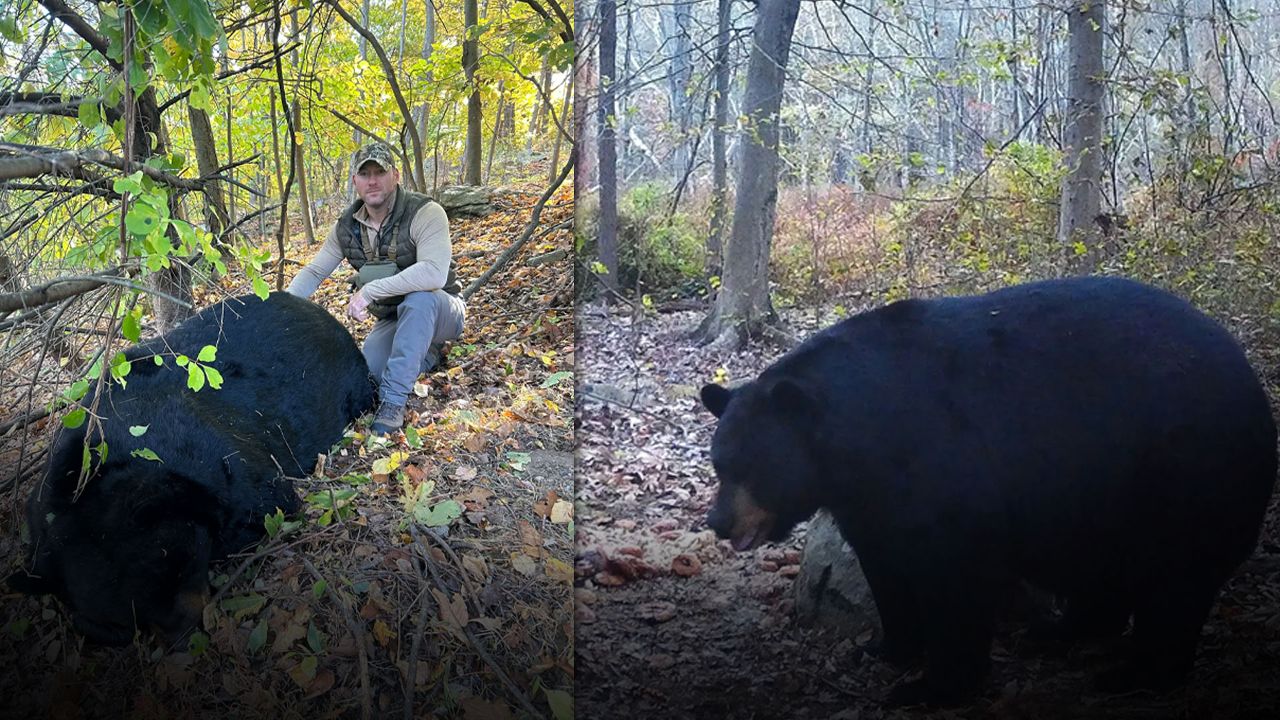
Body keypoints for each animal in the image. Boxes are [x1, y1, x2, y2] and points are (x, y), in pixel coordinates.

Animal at [6, 292, 373, 645]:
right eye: (131, 614)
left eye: (178, 569)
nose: (183, 637)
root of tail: (317, 310)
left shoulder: (216, 458)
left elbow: (269, 505)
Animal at [701, 278, 1280, 702]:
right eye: (719, 463)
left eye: (751, 466)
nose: (718, 522)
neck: (857, 440)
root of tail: (1250, 377)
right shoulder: (871, 502)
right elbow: (886, 570)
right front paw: (886, 649)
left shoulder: (941, 468)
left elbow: (955, 576)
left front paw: (933, 686)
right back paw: (1060, 632)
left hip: (1186, 475)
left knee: (1177, 585)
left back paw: (1135, 673)